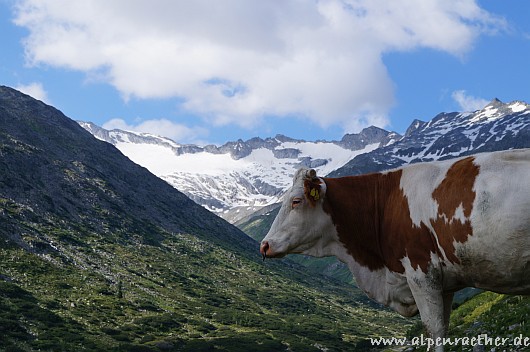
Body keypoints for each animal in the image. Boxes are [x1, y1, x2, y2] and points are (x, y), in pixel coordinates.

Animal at [260, 148, 528, 350]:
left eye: (296, 201)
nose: (264, 244)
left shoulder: (422, 272)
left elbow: (434, 332)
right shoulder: (446, 284)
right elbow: (444, 326)